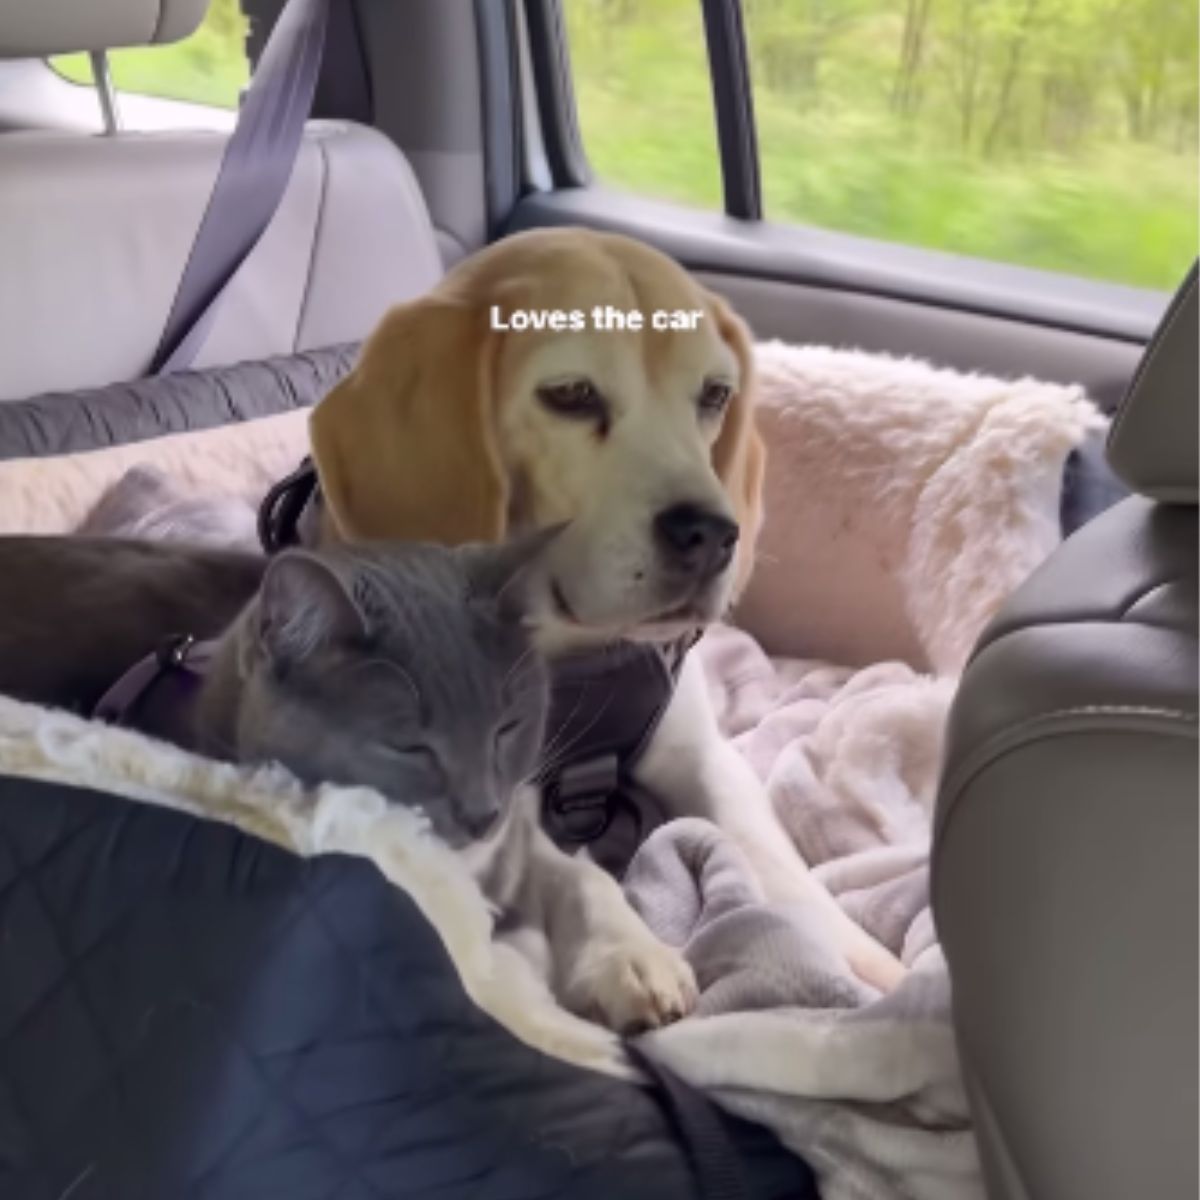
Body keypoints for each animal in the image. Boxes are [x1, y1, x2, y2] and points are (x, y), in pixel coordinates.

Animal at [285, 226, 902, 1032]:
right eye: (572, 395)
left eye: (715, 394)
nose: (711, 534)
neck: (580, 657)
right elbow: (570, 872)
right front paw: (625, 949)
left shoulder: (702, 757)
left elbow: (777, 863)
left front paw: (861, 959)